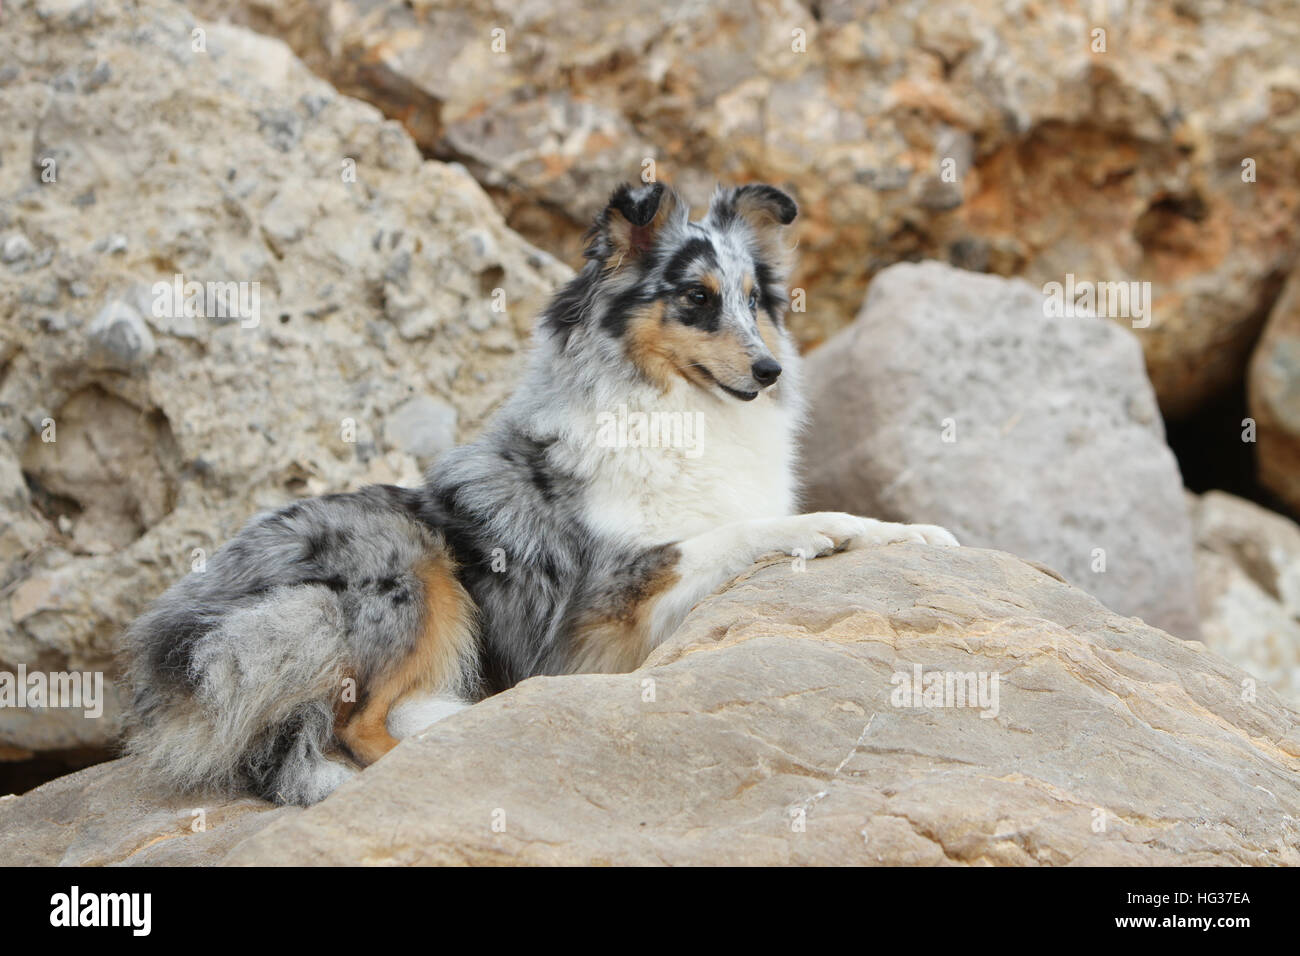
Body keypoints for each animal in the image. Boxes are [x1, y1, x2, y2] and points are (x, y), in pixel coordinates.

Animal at [122, 180, 956, 806]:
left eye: (755, 299)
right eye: (695, 298)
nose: (770, 370)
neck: (683, 410)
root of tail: (173, 646)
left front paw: (916, 534)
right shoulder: (602, 608)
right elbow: (731, 535)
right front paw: (825, 528)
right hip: (406, 565)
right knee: (356, 729)